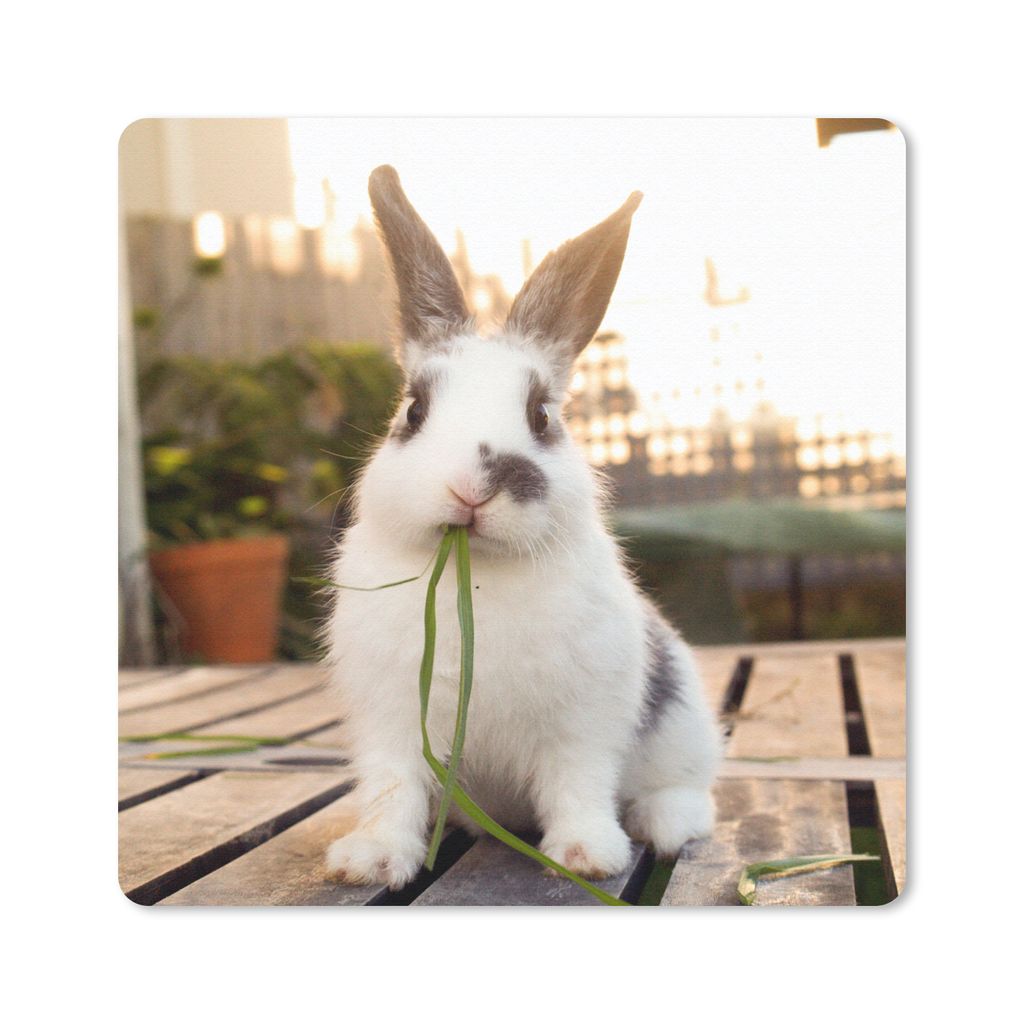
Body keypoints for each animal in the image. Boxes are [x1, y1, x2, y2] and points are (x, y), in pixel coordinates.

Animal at [323, 165, 722, 890]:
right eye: (414, 410)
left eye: (541, 415)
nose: (472, 487)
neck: (475, 575)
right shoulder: (390, 725)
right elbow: (393, 791)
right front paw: (369, 860)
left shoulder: (583, 724)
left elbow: (577, 785)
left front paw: (587, 855)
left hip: (684, 730)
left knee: (690, 793)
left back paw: (662, 823)